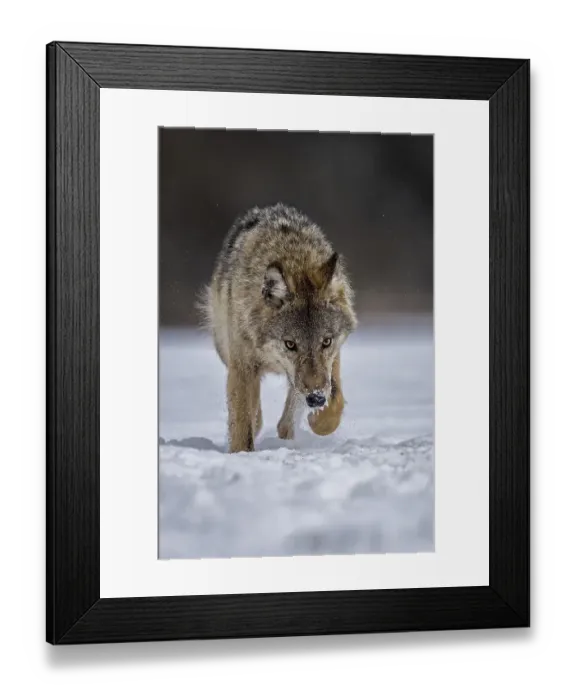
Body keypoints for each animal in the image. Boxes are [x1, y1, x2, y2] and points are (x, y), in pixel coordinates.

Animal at [199, 203, 357, 453]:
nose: (315, 399)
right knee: (256, 414)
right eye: (290, 344)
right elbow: (242, 425)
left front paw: (319, 419)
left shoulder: (332, 358)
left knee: (284, 418)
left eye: (326, 341)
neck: (293, 256)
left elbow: (335, 400)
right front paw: (241, 455)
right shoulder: (242, 365)